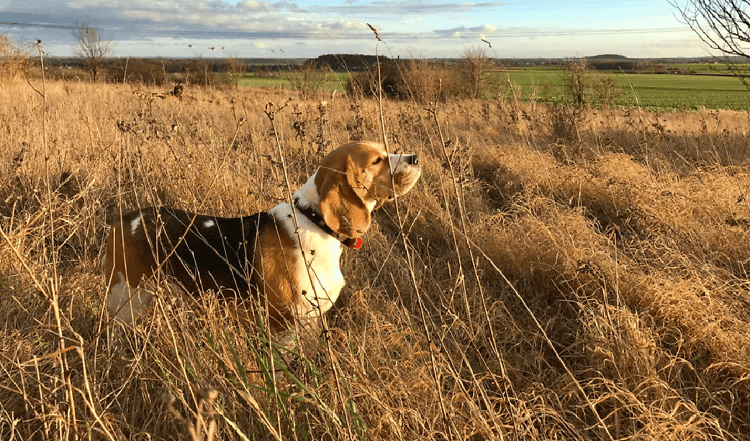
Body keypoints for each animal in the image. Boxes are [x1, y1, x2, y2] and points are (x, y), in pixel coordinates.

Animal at [103, 143, 424, 342]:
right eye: (376, 160)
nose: (415, 158)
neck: (314, 220)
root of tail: (125, 217)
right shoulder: (283, 324)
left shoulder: (310, 320)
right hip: (125, 299)